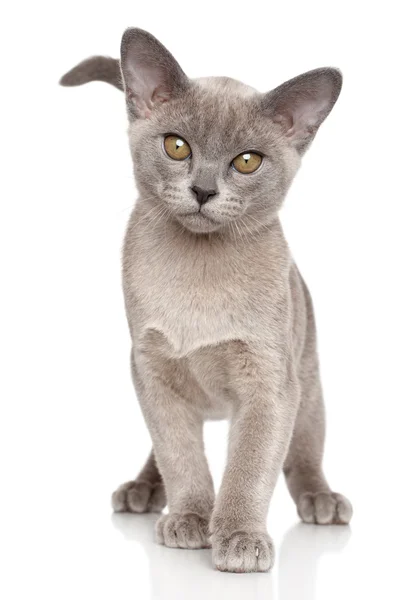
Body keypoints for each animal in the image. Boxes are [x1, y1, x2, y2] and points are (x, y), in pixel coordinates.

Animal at [61, 27, 352, 572]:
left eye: (247, 161)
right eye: (177, 147)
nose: (202, 190)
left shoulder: (268, 384)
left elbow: (249, 466)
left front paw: (238, 537)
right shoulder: (152, 371)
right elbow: (181, 457)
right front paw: (191, 520)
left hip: (307, 384)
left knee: (304, 455)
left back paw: (322, 501)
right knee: (162, 453)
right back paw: (141, 492)